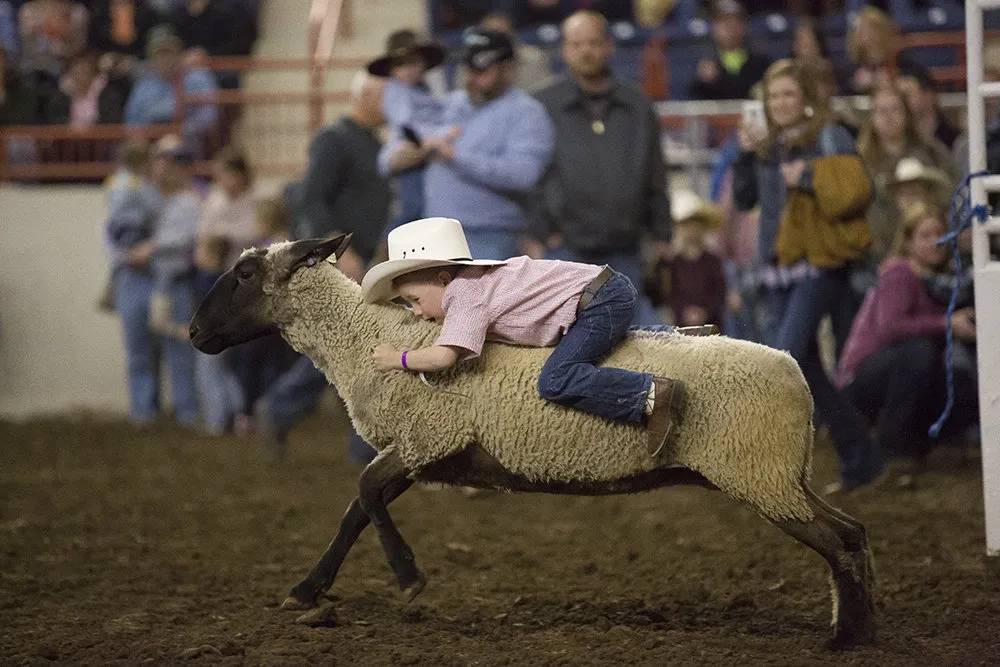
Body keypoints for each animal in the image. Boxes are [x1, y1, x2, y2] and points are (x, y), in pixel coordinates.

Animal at [189, 235, 876, 649]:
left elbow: (364, 495)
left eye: (244, 272)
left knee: (834, 541)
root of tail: (796, 374)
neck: (362, 336)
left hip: (757, 471)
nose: (194, 333)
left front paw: (408, 577)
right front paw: (307, 591)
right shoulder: (420, 447)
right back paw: (862, 627)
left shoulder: (426, 436)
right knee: (851, 533)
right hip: (781, 475)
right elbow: (355, 510)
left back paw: (842, 637)